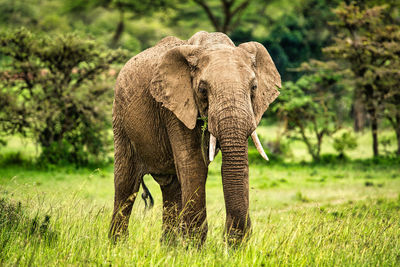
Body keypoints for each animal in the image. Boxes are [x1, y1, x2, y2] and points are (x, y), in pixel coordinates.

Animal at [109, 30, 282, 245]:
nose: (230, 240)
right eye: (202, 90)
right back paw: (117, 246)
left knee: (171, 186)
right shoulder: (173, 107)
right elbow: (194, 163)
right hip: (120, 120)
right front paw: (193, 245)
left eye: (254, 88)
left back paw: (169, 248)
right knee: (126, 184)